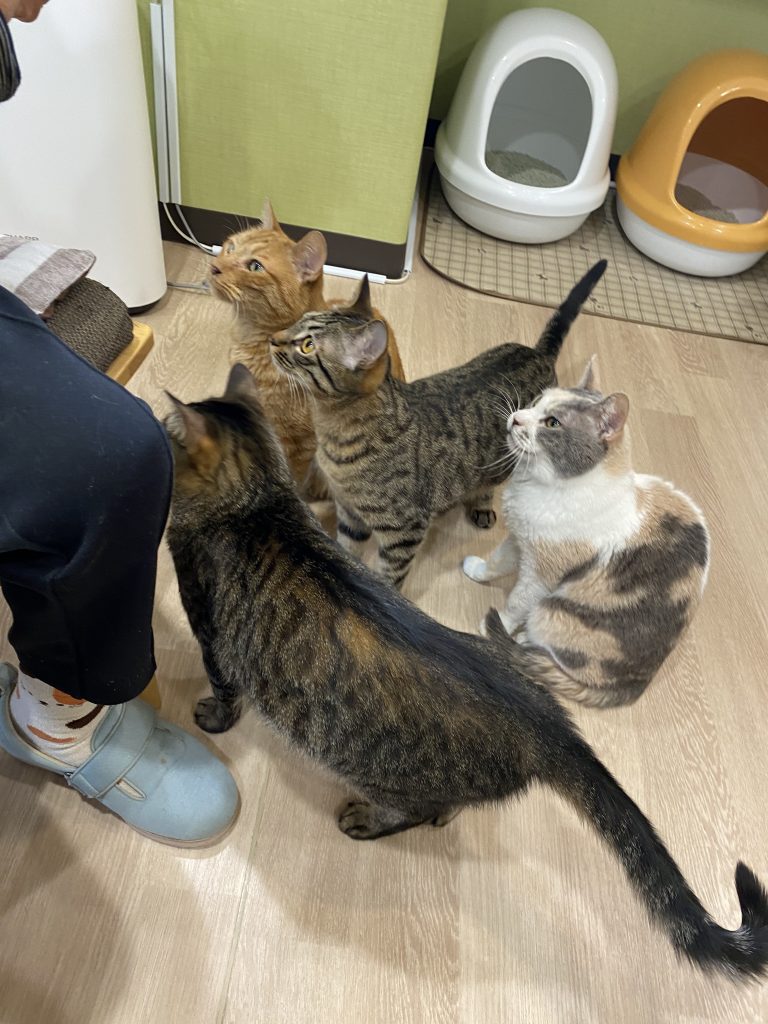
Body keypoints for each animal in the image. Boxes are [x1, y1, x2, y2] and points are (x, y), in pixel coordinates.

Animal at [270, 261, 607, 587]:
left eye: (307, 346)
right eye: (299, 321)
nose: (273, 339)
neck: (333, 429)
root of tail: (538, 354)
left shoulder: (405, 531)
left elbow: (390, 575)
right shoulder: (350, 513)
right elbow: (348, 548)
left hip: (503, 463)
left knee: (488, 483)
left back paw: (480, 504)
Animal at [464, 358, 710, 708]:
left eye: (552, 423)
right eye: (536, 401)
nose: (516, 418)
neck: (541, 486)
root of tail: (636, 685)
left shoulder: (541, 576)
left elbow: (516, 602)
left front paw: (492, 624)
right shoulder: (520, 537)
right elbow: (497, 561)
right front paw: (476, 570)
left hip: (550, 612)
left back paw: (525, 640)